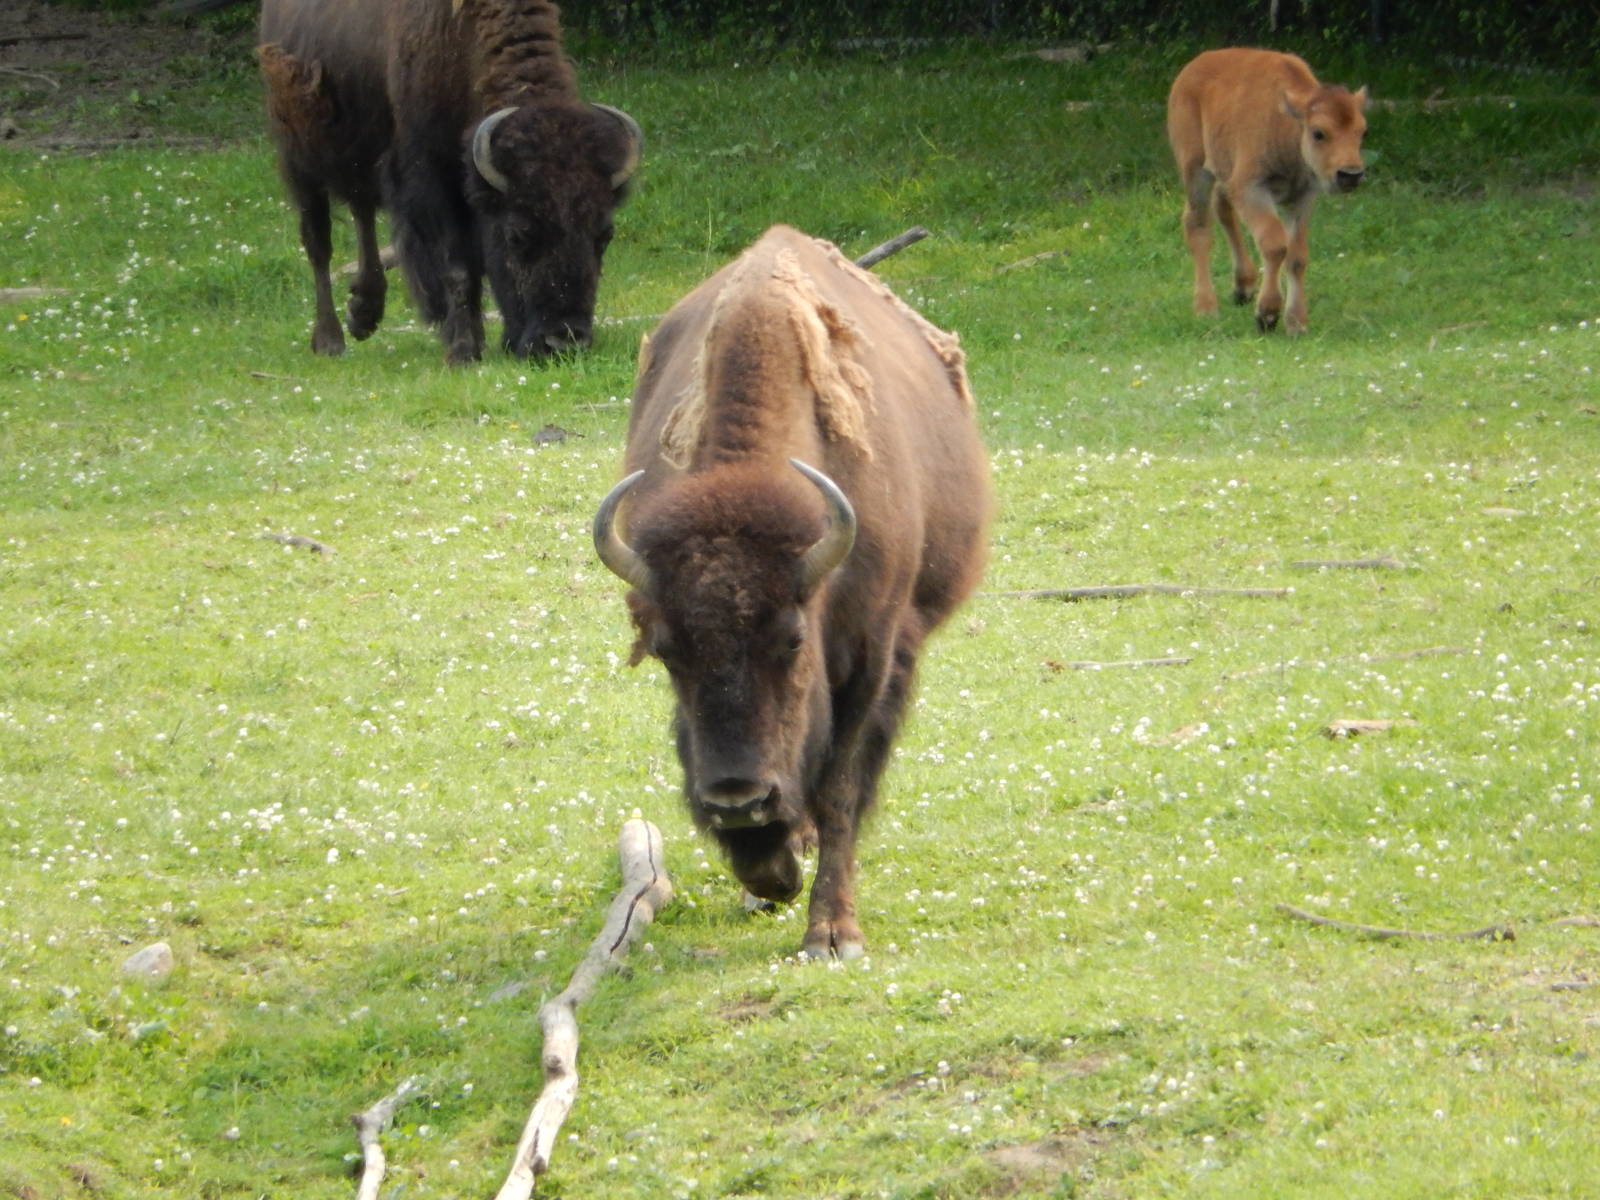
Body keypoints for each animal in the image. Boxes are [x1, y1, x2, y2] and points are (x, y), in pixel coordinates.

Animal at [258, 0, 641, 363]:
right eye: (517, 234)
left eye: (605, 234)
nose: (563, 341)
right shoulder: (431, 179)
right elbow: (457, 267)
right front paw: (463, 350)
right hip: (299, 158)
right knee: (318, 241)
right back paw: (330, 340)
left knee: (361, 211)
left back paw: (364, 313)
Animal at [593, 225, 992, 959]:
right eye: (665, 651)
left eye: (793, 639)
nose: (737, 799)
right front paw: (770, 876)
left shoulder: (873, 656)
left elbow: (841, 789)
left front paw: (832, 932)